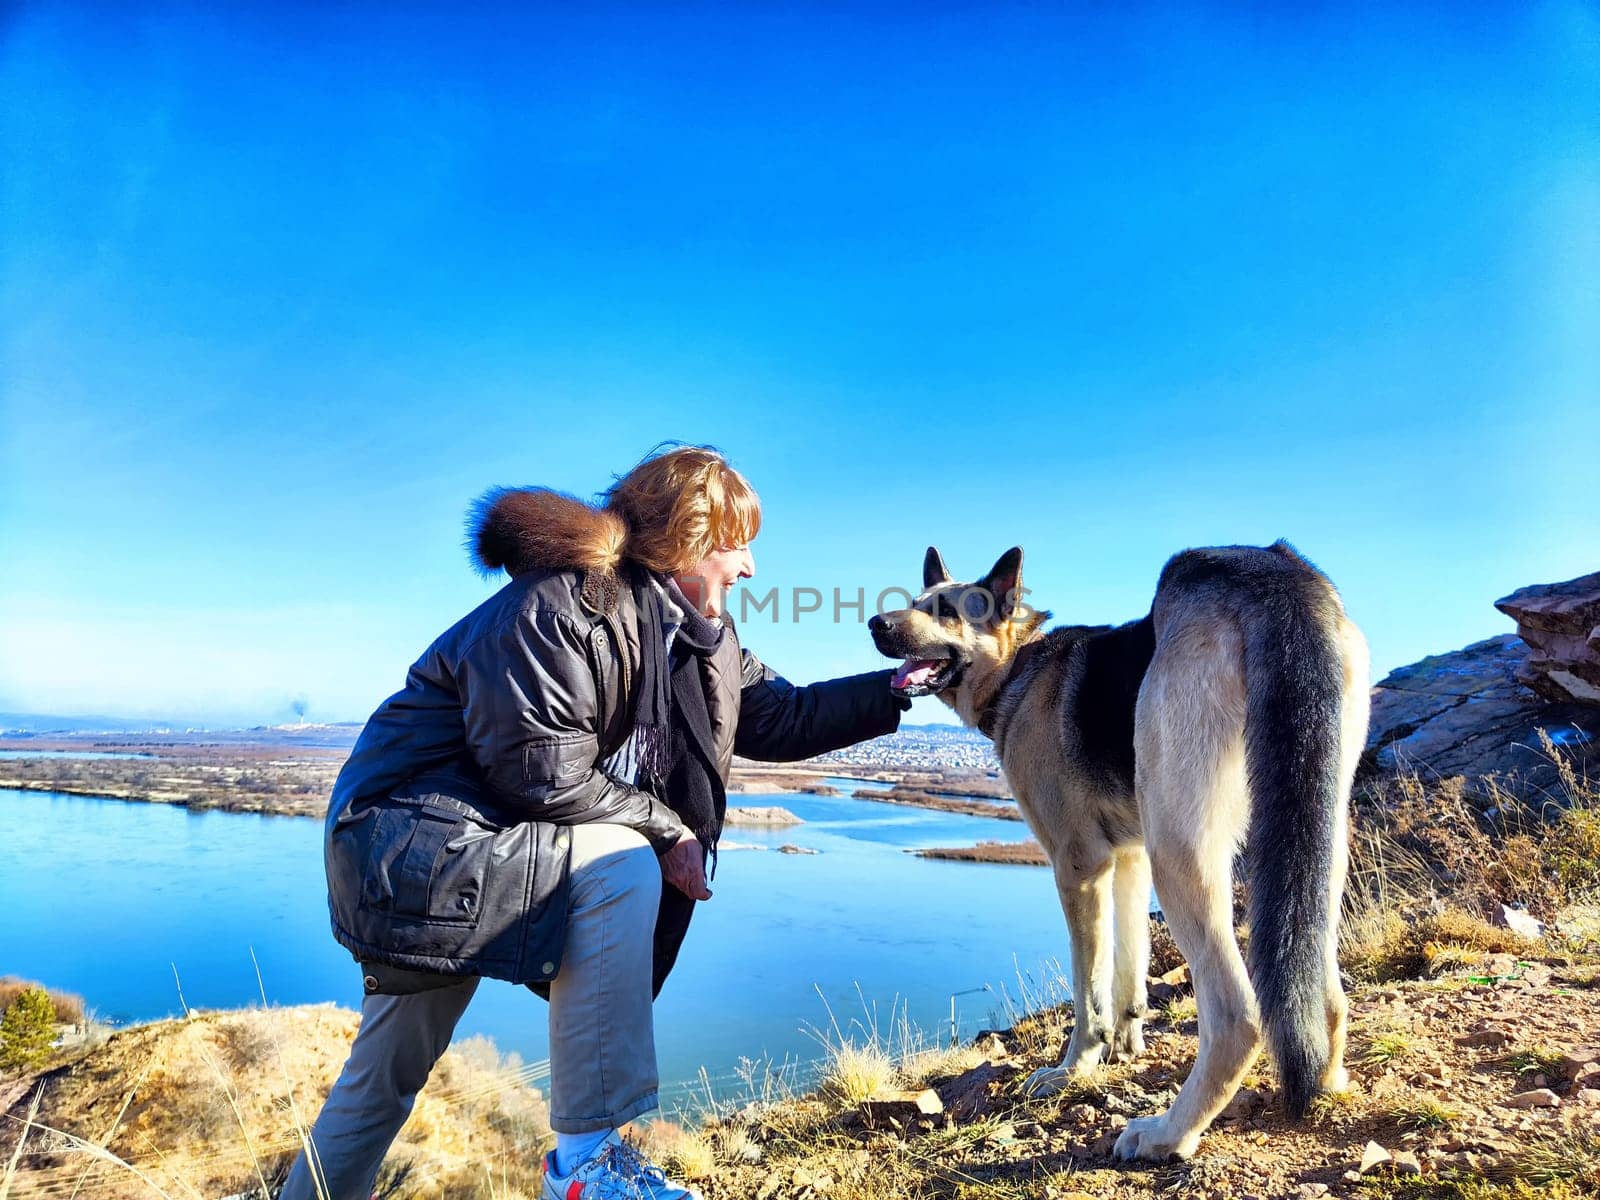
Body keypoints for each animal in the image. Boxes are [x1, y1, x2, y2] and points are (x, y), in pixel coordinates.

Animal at [870, 544, 1369, 1164]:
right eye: (915, 602)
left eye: (944, 610)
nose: (875, 624)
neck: (1018, 668)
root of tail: (1278, 582)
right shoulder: (1129, 857)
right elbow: (1129, 969)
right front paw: (1126, 1044)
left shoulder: (1079, 866)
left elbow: (1089, 991)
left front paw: (1076, 1066)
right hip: (1316, 831)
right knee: (1323, 989)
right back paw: (1327, 1079)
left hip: (1181, 849)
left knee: (1237, 1017)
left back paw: (1169, 1133)